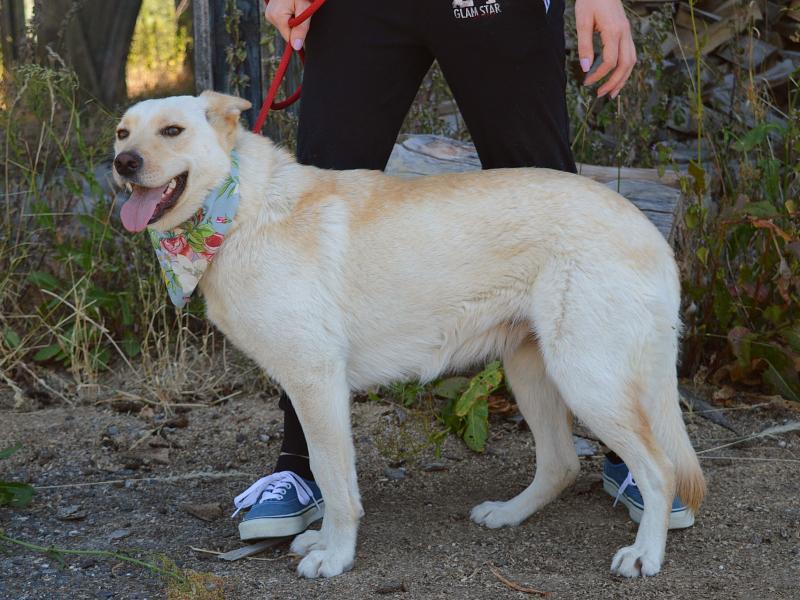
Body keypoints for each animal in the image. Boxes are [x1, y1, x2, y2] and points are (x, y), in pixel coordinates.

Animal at [113, 91, 706, 579]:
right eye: (123, 133)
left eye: (171, 131)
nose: (123, 163)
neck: (239, 210)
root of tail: (647, 228)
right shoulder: (309, 385)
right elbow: (330, 475)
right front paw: (323, 543)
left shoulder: (315, 381)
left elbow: (335, 480)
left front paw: (335, 556)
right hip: (532, 370)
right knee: (561, 463)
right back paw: (508, 513)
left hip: (585, 377)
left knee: (659, 469)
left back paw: (645, 554)